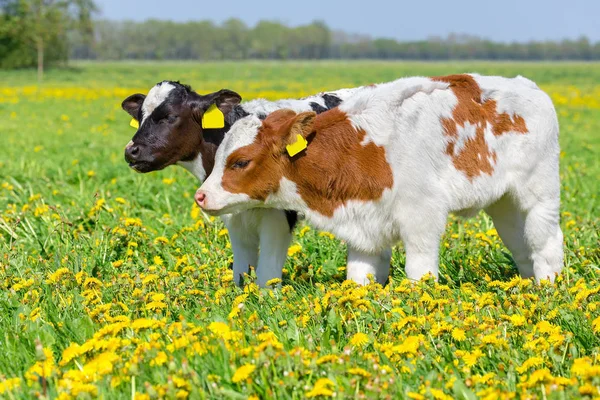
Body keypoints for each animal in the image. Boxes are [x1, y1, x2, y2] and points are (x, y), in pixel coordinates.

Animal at [120, 80, 390, 284]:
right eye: (140, 116)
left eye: (169, 116)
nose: (131, 151)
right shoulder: (234, 219)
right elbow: (241, 272)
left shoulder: (278, 219)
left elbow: (266, 275)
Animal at [197, 73, 564, 282]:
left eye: (241, 162)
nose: (201, 196)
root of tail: (526, 85)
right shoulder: (363, 228)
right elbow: (358, 279)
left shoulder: (422, 218)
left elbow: (419, 273)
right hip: (504, 202)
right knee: (520, 244)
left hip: (539, 194)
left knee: (546, 241)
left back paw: (550, 289)